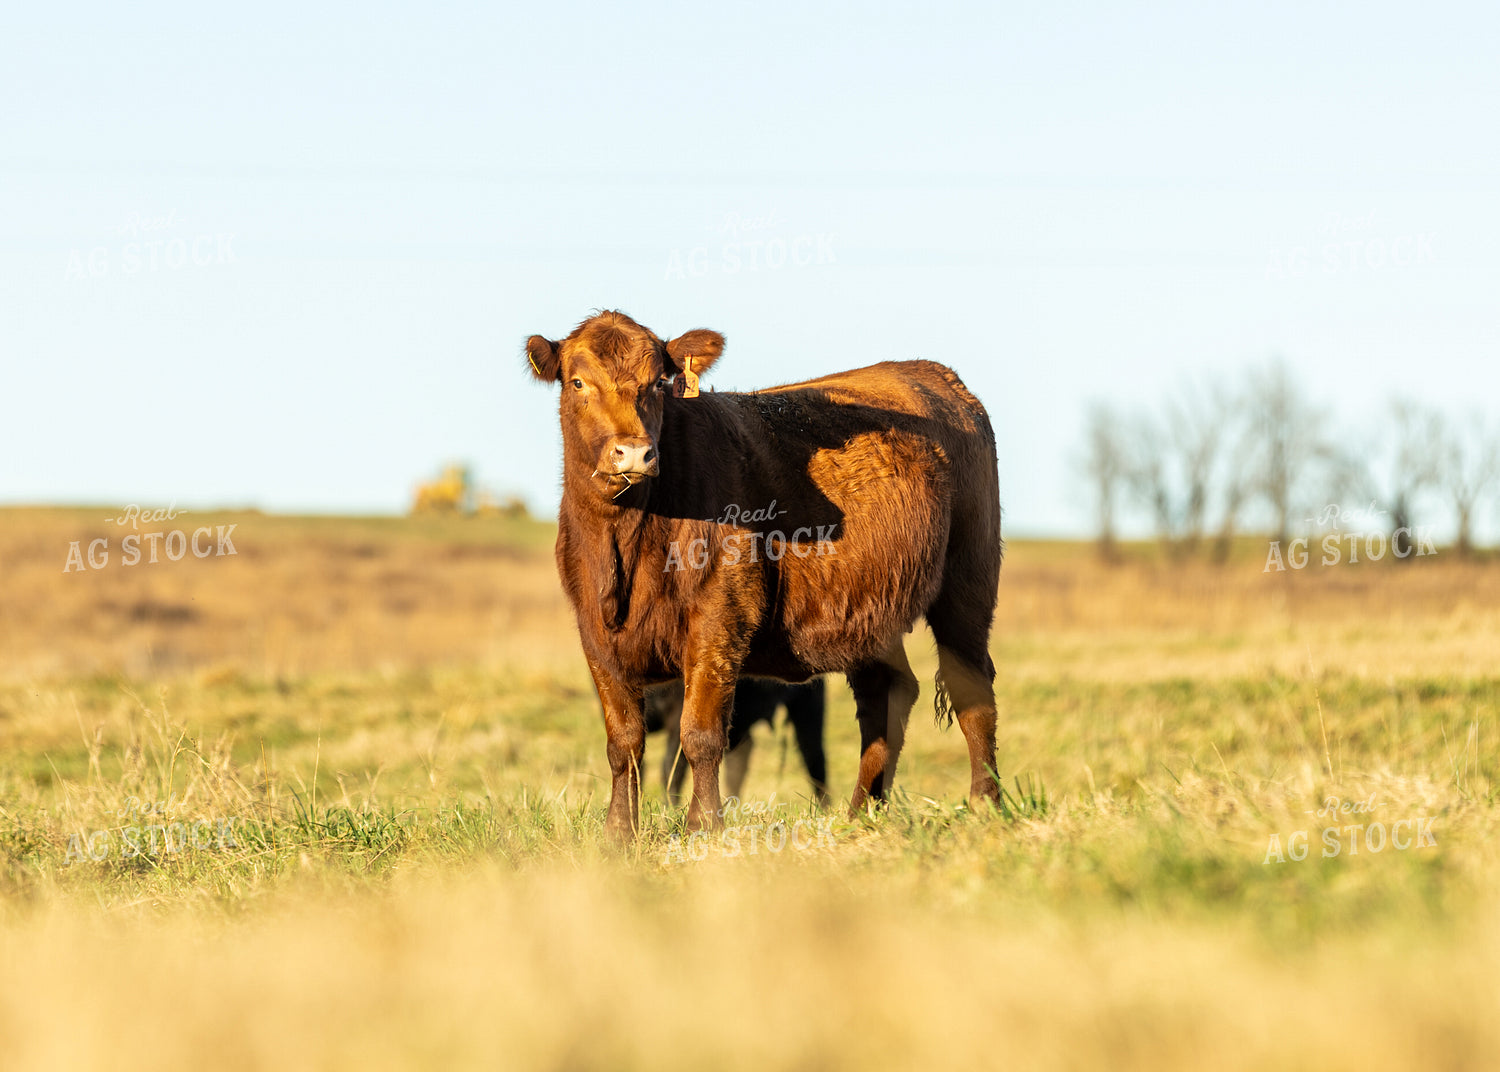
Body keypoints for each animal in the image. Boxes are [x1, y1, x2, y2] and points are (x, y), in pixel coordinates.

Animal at [646, 677, 829, 807]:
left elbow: (671, 768)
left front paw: (671, 809)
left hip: (809, 707)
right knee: (737, 766)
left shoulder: (680, 715)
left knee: (815, 761)